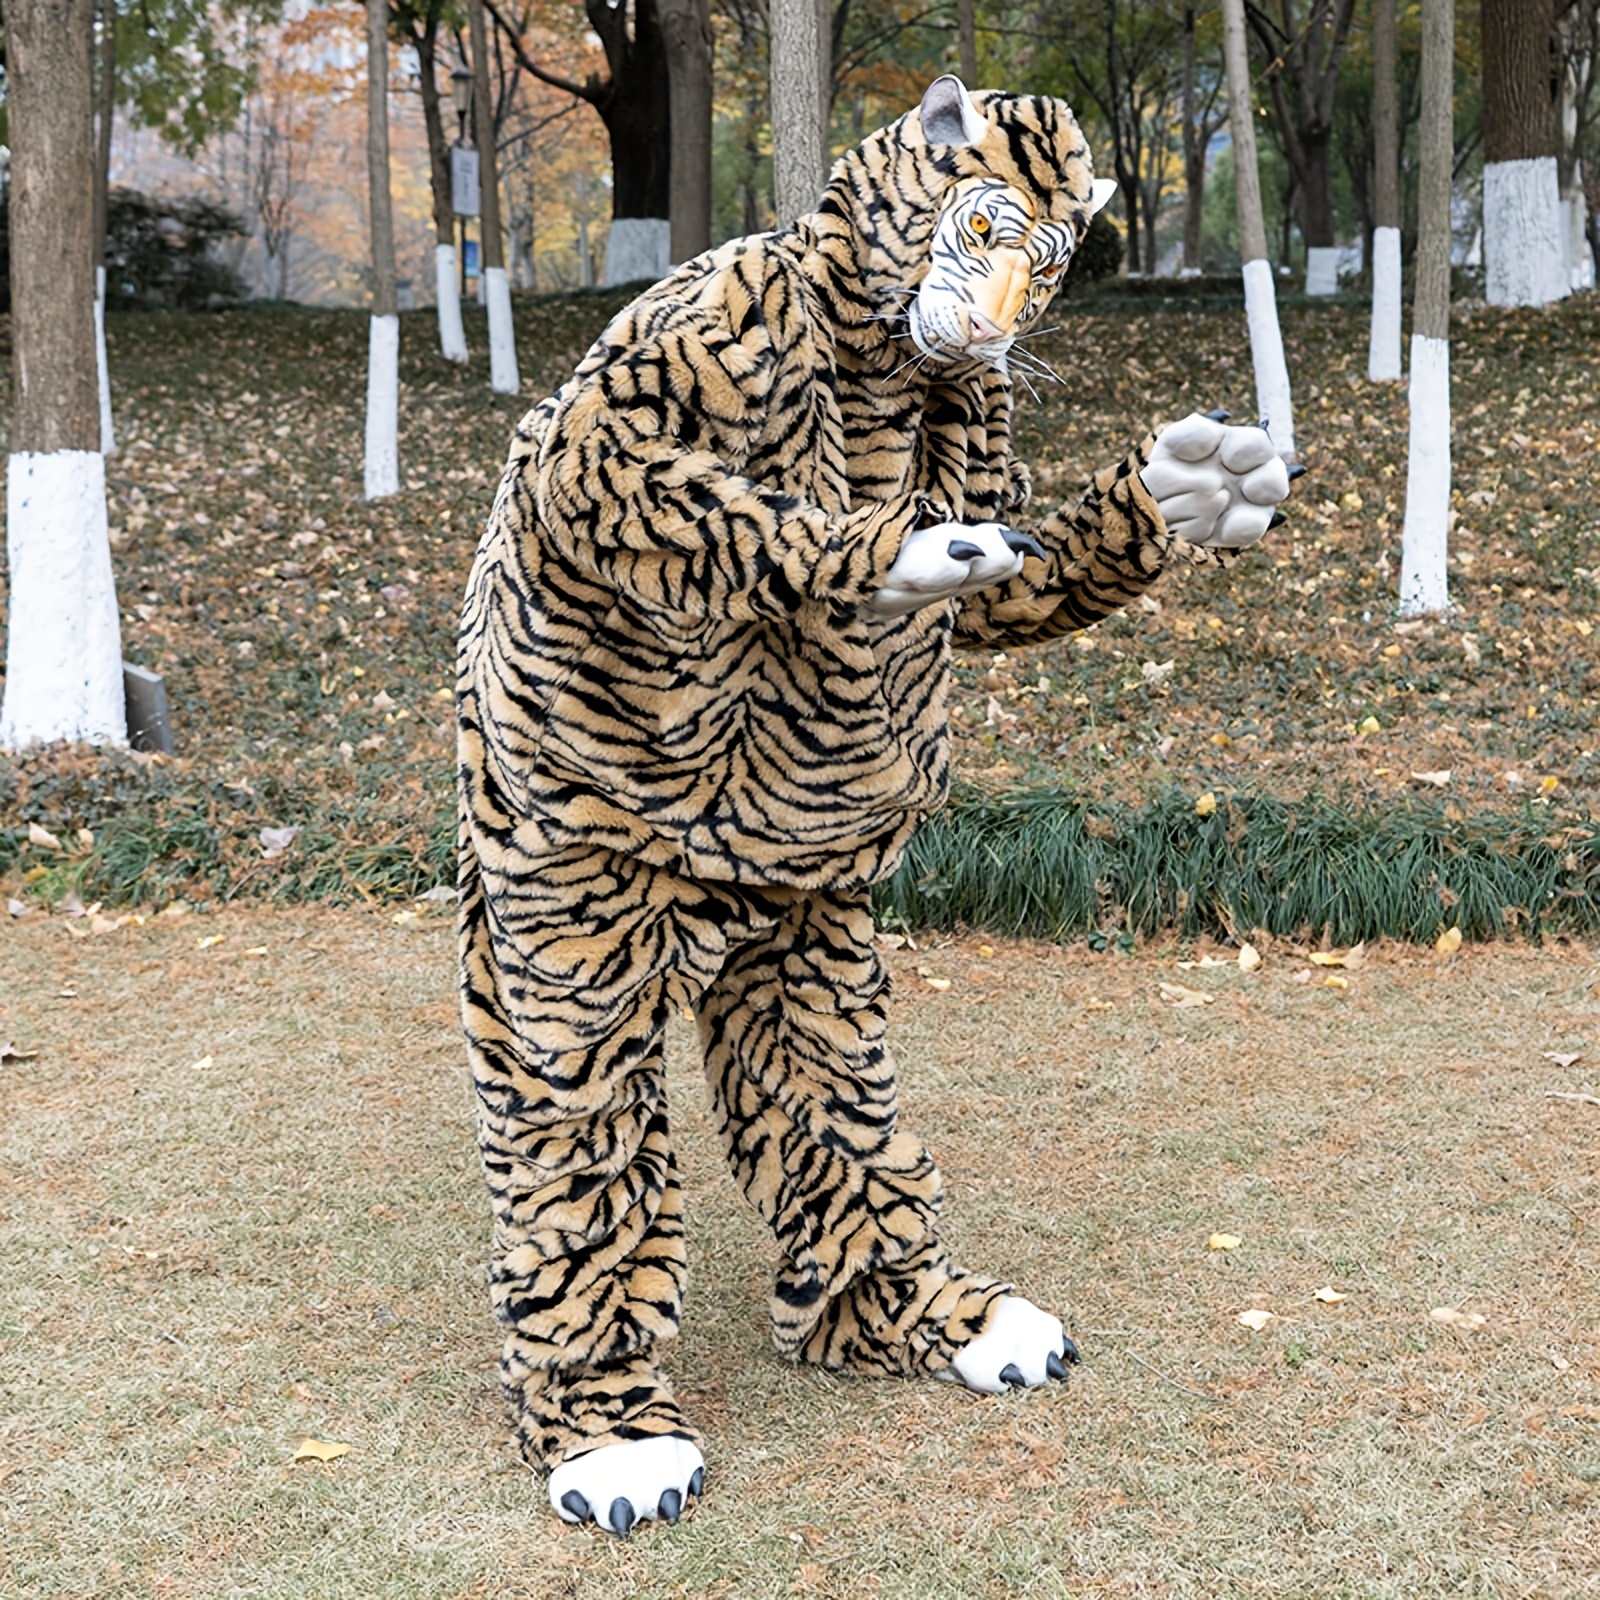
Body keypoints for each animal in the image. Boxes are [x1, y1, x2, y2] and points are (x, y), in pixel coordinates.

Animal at [456, 74, 1294, 1535]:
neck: (887, 365)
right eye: (983, 224)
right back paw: (611, 1436)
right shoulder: (683, 359)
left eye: (1055, 261)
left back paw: (920, 1313)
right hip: (565, 921)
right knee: (577, 1127)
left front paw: (1191, 488)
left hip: (801, 924)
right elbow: (636, 476)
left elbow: (1018, 562)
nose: (1002, 317)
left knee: (822, 1092)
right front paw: (875, 553)